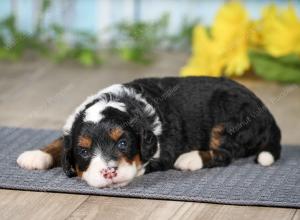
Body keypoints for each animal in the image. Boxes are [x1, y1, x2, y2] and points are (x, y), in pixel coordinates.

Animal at [17, 77, 282, 187]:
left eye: (123, 144)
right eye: (83, 151)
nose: (109, 172)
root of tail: (267, 113)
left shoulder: (161, 150)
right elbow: (61, 140)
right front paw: (36, 155)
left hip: (229, 120)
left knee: (225, 153)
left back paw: (190, 159)